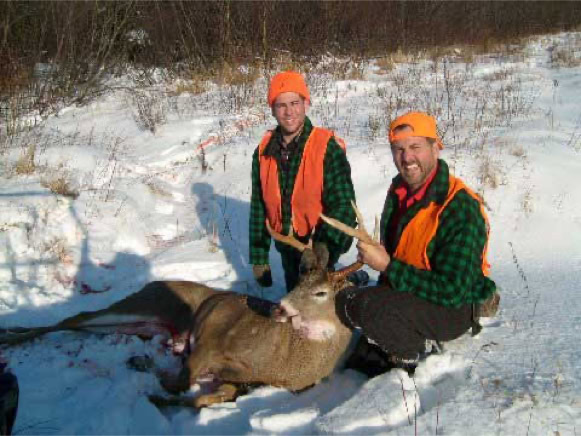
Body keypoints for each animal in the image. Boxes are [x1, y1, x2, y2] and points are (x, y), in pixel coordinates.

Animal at [0, 201, 377, 408]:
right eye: (299, 283)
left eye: (321, 293)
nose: (278, 308)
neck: (283, 360)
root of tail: (153, 283)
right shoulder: (212, 342)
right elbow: (181, 382)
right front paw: (151, 381)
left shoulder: (239, 377)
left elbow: (206, 396)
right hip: (145, 303)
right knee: (76, 316)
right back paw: (9, 335)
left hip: (139, 323)